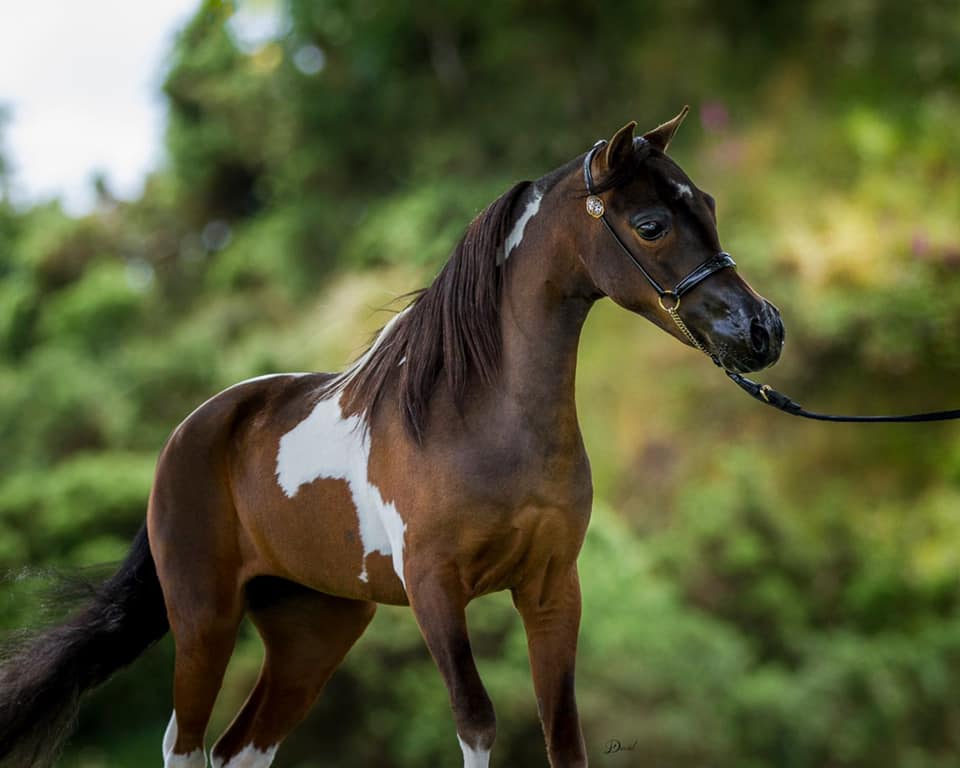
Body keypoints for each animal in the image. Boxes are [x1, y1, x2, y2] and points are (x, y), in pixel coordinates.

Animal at [0, 108, 784, 768]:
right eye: (650, 223)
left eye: (708, 205)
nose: (763, 330)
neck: (479, 420)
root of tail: (193, 430)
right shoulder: (437, 590)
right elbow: (477, 721)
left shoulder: (553, 587)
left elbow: (563, 733)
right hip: (204, 619)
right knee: (184, 744)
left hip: (314, 628)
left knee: (240, 748)